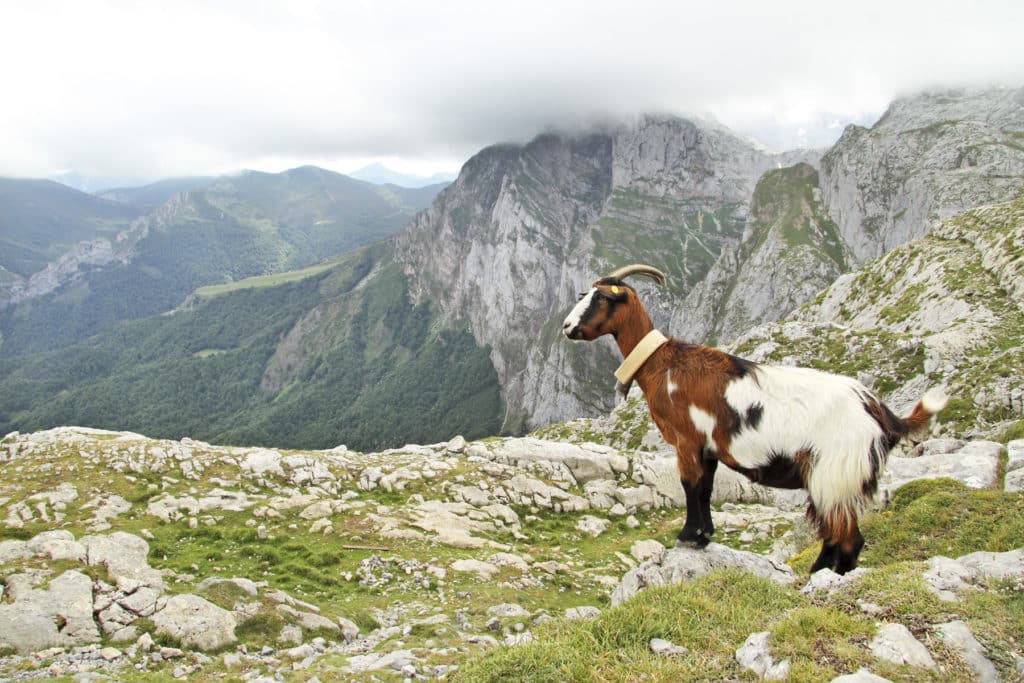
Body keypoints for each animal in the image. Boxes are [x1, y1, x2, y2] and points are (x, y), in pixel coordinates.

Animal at [565, 264, 946, 573]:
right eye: (585, 295)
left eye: (602, 298)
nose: (568, 326)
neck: (664, 363)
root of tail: (880, 412)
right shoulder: (709, 447)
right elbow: (705, 488)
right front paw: (704, 535)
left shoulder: (687, 439)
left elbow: (690, 485)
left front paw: (687, 536)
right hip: (837, 479)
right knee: (837, 536)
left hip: (835, 474)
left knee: (847, 539)